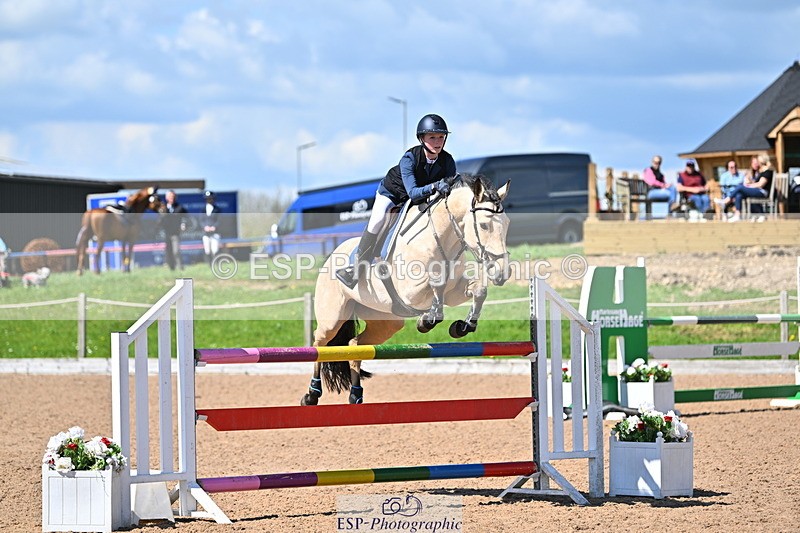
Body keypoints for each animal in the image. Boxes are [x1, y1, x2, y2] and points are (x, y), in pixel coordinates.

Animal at [301, 174, 511, 405]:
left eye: (507, 224)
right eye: (484, 225)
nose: (502, 273)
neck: (442, 237)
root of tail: (332, 254)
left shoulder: (454, 291)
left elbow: (478, 291)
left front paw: (463, 327)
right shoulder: (411, 291)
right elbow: (436, 283)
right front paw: (426, 321)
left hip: (386, 323)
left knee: (354, 344)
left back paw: (356, 393)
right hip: (333, 317)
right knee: (321, 343)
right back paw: (312, 394)